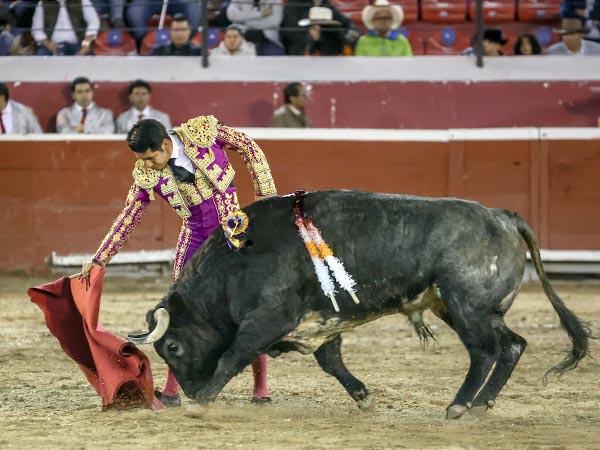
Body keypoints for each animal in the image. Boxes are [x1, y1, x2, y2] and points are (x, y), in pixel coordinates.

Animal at [130, 190, 592, 418]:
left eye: (173, 347)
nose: (189, 390)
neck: (237, 263)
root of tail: (503, 216)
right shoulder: (323, 322)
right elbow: (331, 362)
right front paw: (364, 398)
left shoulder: (267, 319)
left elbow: (233, 355)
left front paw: (203, 401)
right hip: (468, 308)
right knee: (512, 345)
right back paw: (481, 405)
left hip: (466, 306)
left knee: (484, 351)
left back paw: (459, 405)